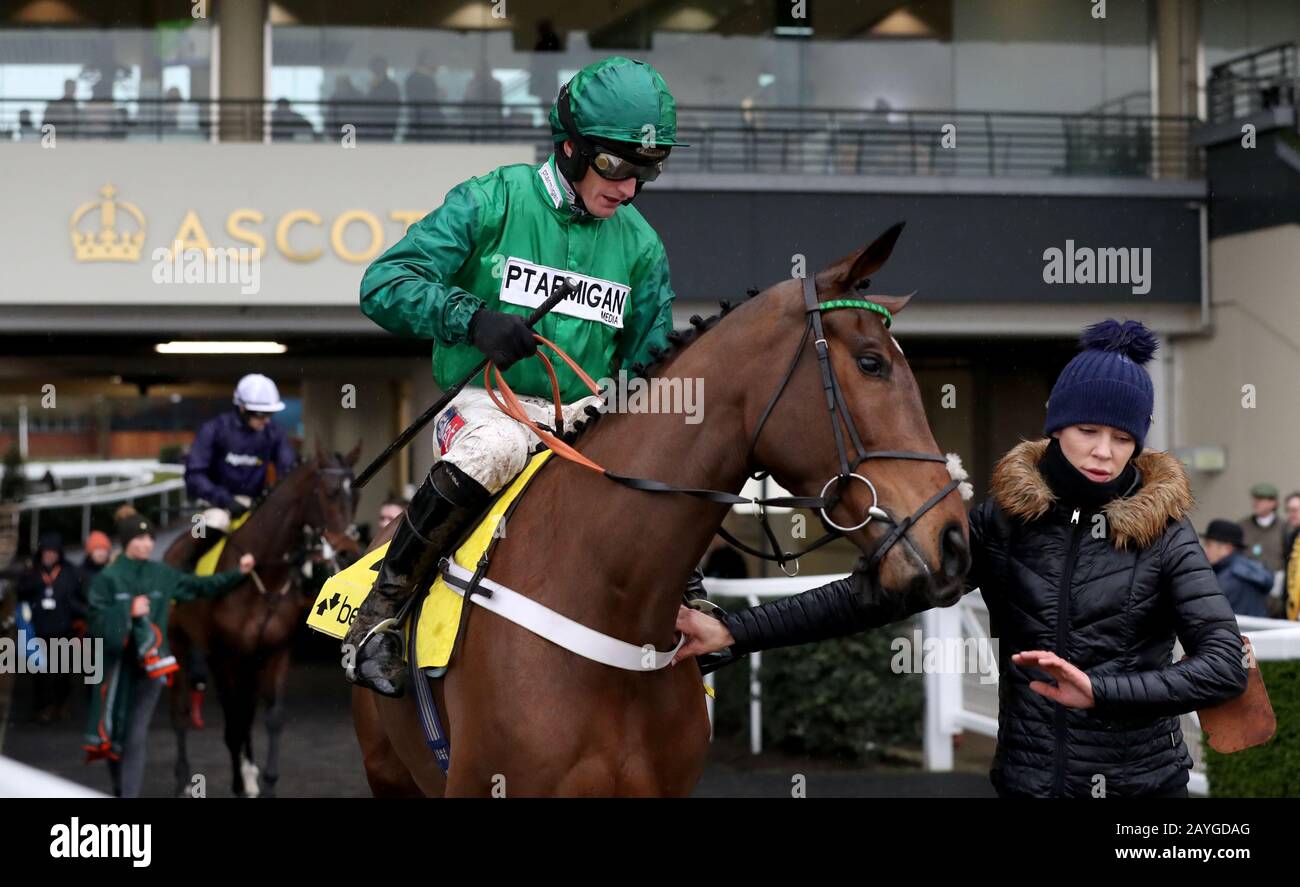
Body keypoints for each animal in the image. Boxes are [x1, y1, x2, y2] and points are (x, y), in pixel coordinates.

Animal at [167, 442, 364, 795]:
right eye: (328, 492)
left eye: (355, 496)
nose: (347, 553)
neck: (262, 575)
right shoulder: (223, 656)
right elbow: (233, 722)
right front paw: (239, 782)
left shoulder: (274, 652)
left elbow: (270, 717)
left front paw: (264, 781)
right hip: (180, 643)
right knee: (182, 711)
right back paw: (184, 779)